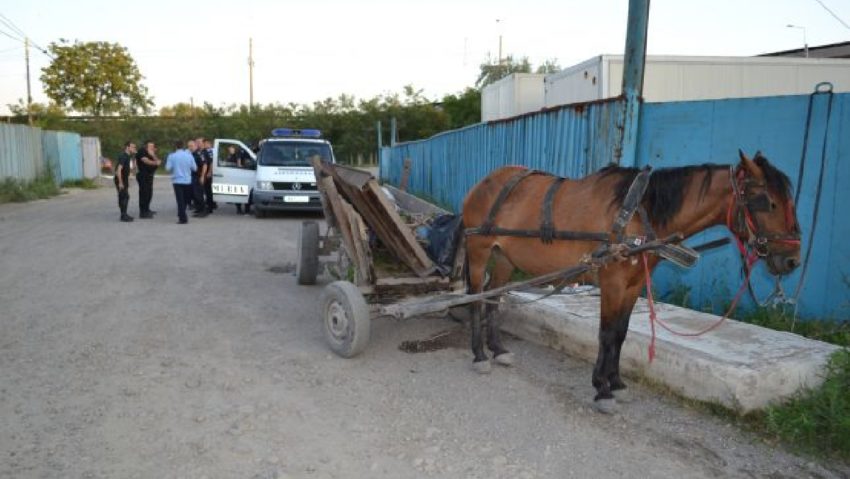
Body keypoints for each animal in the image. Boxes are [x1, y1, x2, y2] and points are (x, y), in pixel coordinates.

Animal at [460, 153, 800, 412]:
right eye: (767, 202)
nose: (792, 260)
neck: (639, 213)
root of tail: (485, 182)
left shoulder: (634, 284)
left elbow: (621, 333)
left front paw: (617, 383)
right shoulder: (612, 280)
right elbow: (607, 333)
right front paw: (602, 389)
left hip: (505, 258)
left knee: (493, 297)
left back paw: (498, 350)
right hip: (478, 251)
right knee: (474, 299)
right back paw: (479, 355)